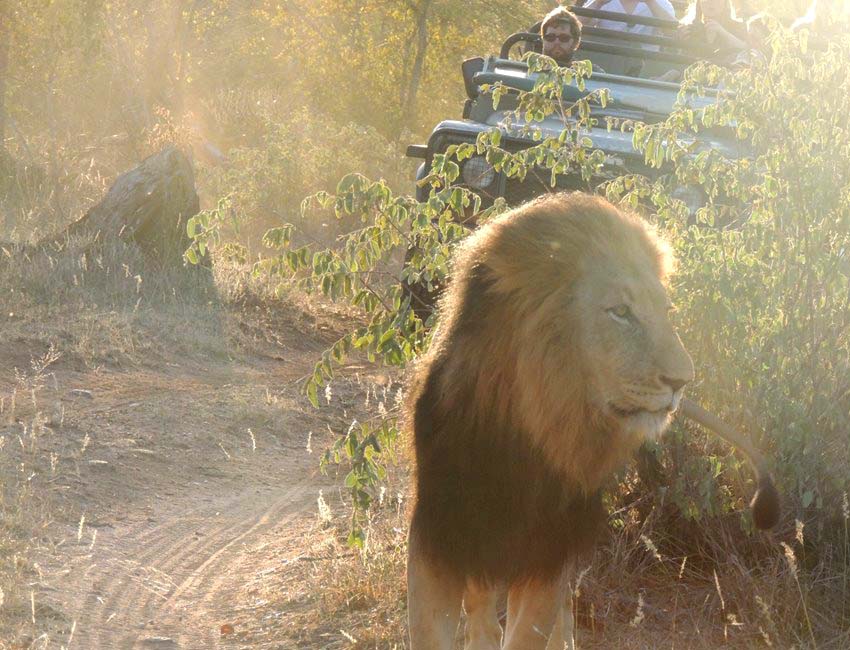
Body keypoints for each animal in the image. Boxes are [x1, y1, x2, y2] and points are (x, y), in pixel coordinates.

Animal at [405, 193, 778, 649]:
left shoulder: (548, 551)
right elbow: (432, 627)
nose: (682, 381)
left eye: (665, 310)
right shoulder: (439, 535)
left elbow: (532, 627)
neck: (525, 437)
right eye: (619, 312)